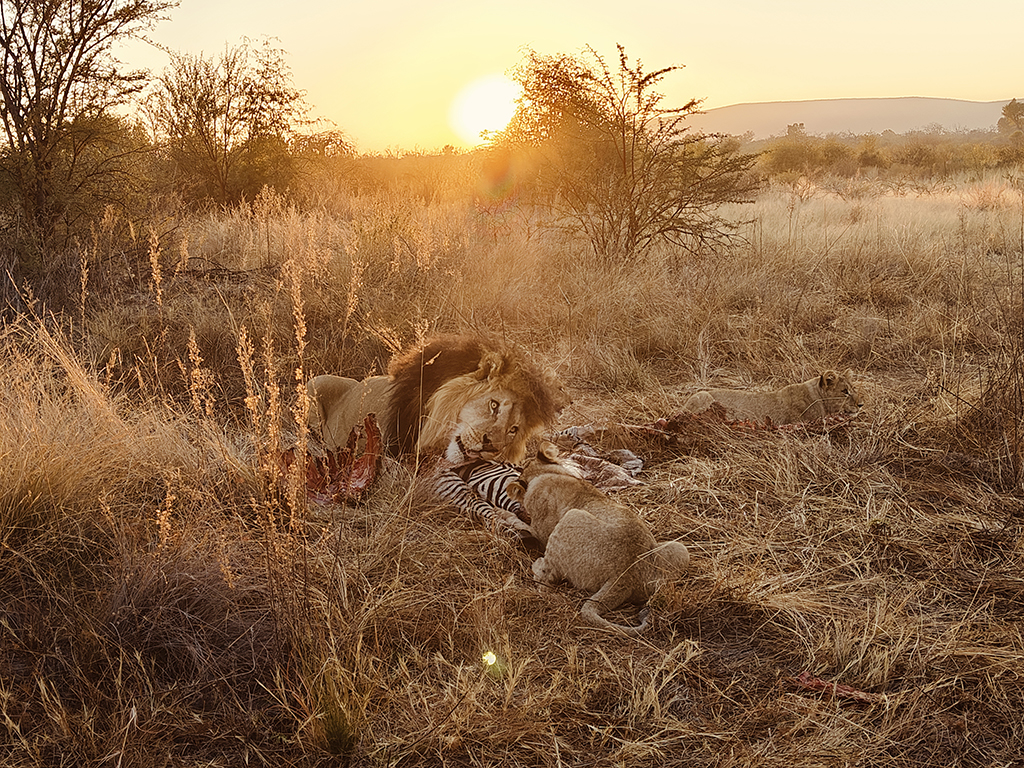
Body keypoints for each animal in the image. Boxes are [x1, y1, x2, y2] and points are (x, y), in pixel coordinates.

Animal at [507, 443, 690, 636]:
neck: (544, 472)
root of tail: (626, 576)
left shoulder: (542, 532)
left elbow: (531, 531)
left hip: (572, 516)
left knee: (546, 579)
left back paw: (535, 562)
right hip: (680, 550)